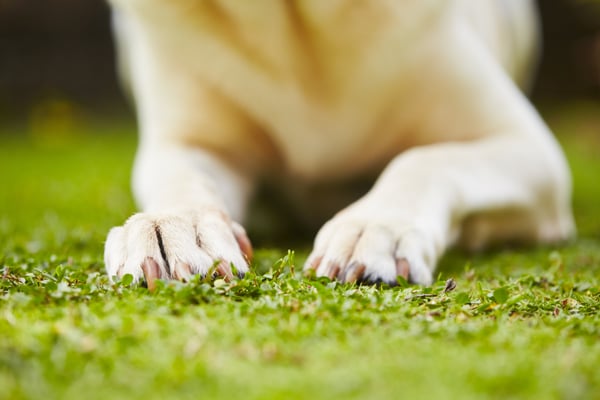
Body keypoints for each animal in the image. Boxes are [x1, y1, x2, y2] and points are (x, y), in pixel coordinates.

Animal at [104, 0, 576, 288]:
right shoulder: (189, 145)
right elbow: (181, 176)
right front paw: (173, 226)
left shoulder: (532, 150)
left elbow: (422, 160)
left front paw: (377, 227)